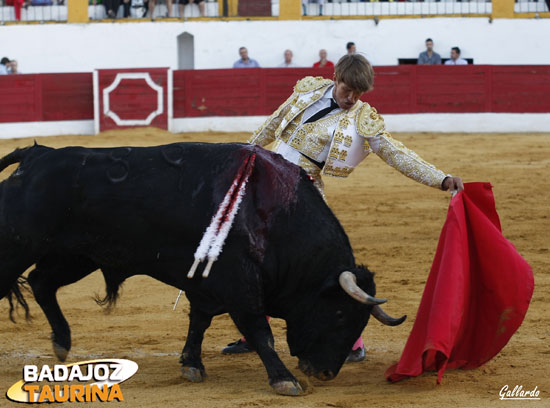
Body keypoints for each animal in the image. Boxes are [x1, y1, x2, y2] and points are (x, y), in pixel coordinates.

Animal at [0, 143, 406, 396]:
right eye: (338, 314)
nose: (324, 373)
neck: (273, 215)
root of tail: (36, 156)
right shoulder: (239, 285)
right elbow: (261, 333)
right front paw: (284, 380)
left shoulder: (206, 285)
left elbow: (199, 322)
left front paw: (192, 365)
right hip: (21, 246)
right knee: (28, 280)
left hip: (78, 255)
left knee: (41, 282)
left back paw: (62, 343)